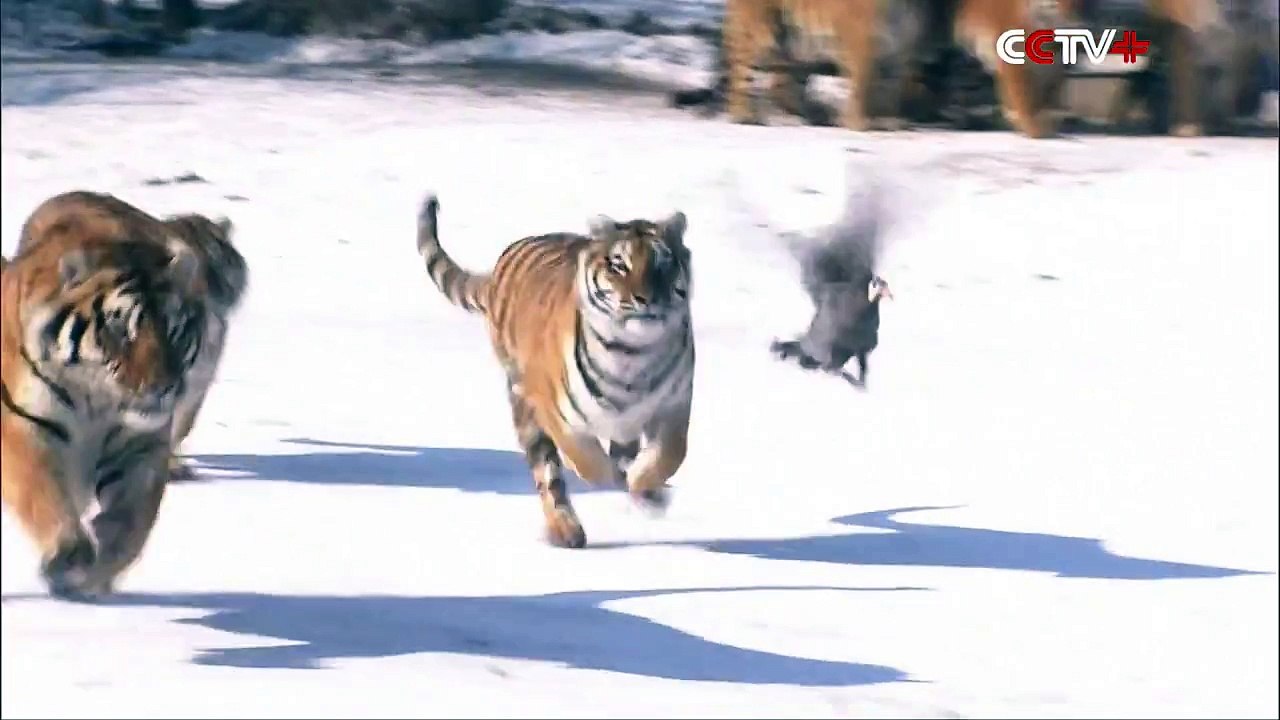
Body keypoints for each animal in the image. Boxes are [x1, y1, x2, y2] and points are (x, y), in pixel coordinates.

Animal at [414, 194, 695, 549]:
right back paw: (566, 530)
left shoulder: (674, 406)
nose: (645, 299)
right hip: (525, 407)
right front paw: (611, 478)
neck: (632, 354)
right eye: (619, 265)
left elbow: (669, 455)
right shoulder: (554, 410)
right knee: (549, 477)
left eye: (662, 264)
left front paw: (645, 485)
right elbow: (587, 460)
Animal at [722, 0, 1062, 138]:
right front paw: (859, 122)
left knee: (782, 83)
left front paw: (887, 121)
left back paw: (806, 116)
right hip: (762, 33)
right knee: (741, 71)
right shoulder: (862, 42)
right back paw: (744, 115)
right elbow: (863, 85)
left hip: (795, 42)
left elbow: (888, 88)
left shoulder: (900, 48)